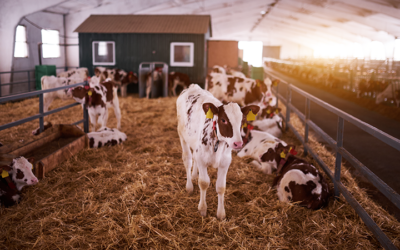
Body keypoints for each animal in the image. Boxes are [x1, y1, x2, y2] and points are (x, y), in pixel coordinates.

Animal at [177, 83, 260, 219]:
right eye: (223, 120)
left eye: (242, 121)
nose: (238, 143)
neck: (218, 143)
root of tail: (193, 86)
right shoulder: (202, 159)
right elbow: (204, 183)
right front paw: (202, 209)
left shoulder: (225, 162)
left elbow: (221, 187)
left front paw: (221, 213)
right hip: (182, 135)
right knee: (187, 159)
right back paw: (189, 186)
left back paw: (194, 175)